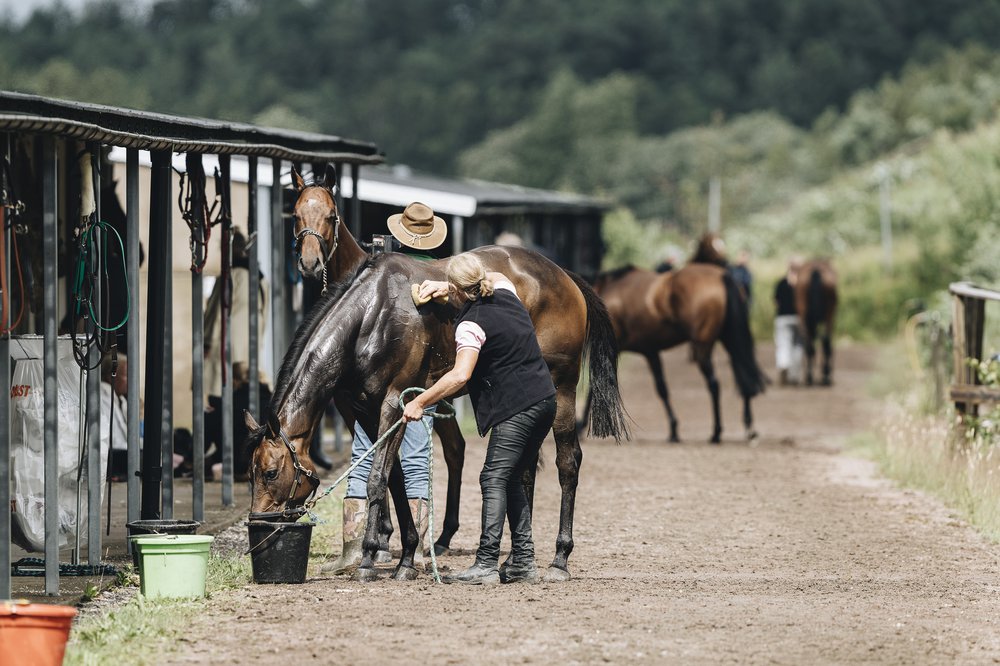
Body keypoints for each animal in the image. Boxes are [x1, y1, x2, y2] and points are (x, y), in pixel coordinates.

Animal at [246, 167, 624, 580]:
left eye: (270, 472)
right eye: (295, 215)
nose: (259, 521)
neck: (373, 313)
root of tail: (564, 276)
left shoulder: (394, 402)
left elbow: (378, 477)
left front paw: (370, 556)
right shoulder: (364, 408)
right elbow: (393, 477)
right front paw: (406, 553)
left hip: (562, 388)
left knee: (567, 463)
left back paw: (559, 557)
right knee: (519, 467)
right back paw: (509, 558)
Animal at [580, 262, 764, 444]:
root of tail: (721, 276)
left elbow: (597, 387)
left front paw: (580, 426)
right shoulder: (651, 352)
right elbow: (662, 388)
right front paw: (674, 429)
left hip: (702, 348)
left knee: (715, 384)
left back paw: (716, 432)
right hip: (729, 339)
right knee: (744, 375)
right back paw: (749, 427)